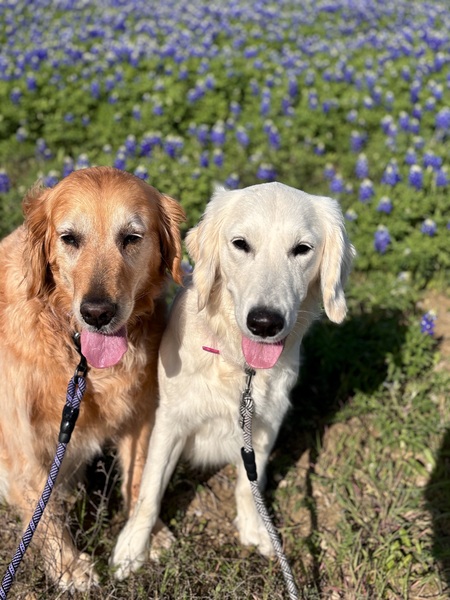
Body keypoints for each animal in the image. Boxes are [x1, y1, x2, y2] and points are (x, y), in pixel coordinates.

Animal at [0, 165, 185, 592]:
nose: (97, 313)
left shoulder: (141, 414)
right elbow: (44, 507)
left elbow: (139, 477)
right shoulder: (20, 439)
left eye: (131, 237)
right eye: (70, 238)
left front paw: (144, 537)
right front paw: (68, 566)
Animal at [110, 179, 356, 576]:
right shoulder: (171, 421)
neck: (241, 369)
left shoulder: (264, 426)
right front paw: (133, 546)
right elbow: (149, 490)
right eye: (241, 244)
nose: (265, 322)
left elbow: (246, 484)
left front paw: (256, 527)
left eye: (302, 249)